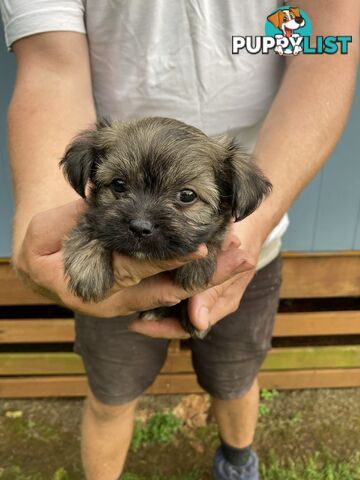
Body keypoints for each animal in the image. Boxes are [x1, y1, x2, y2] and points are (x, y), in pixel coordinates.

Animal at [60, 117, 272, 338]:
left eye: (187, 195)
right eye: (118, 184)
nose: (140, 227)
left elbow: (215, 236)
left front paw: (196, 267)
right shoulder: (95, 216)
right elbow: (90, 225)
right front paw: (88, 270)